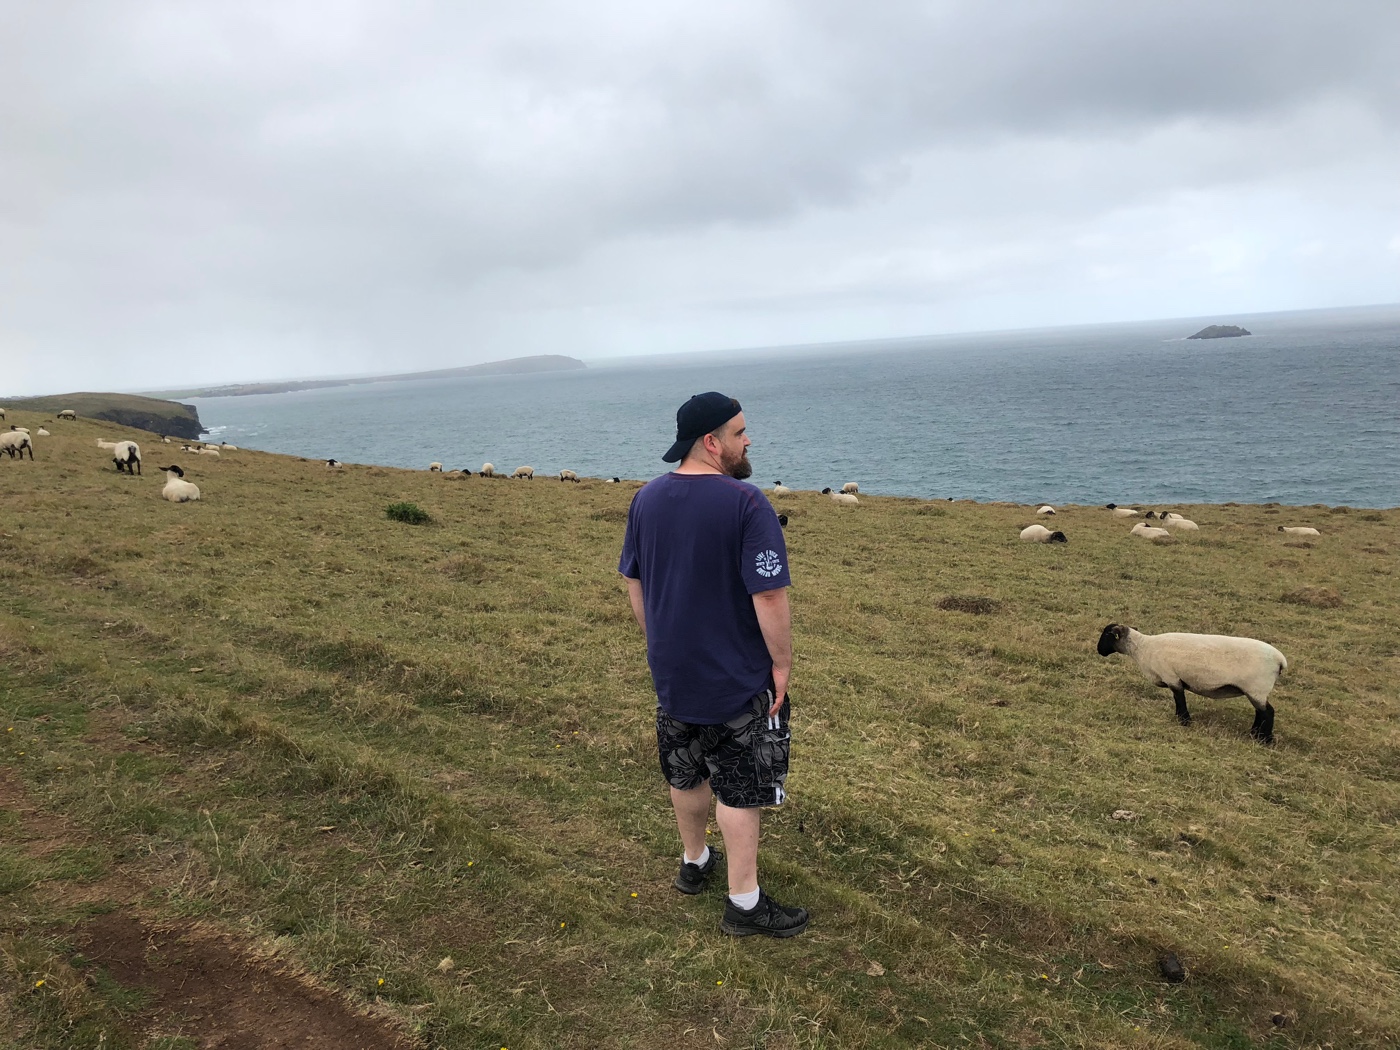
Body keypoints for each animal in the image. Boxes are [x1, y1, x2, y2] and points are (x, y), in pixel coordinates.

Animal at [1097, 624, 1282, 750]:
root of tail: (1281, 661)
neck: (1143, 647)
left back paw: (1264, 739)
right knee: (1261, 712)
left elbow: (1179, 699)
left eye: (1106, 634)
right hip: (1256, 691)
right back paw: (1254, 734)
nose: (1099, 651)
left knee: (1268, 712)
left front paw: (1184, 721)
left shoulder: (1172, 677)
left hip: (1257, 688)